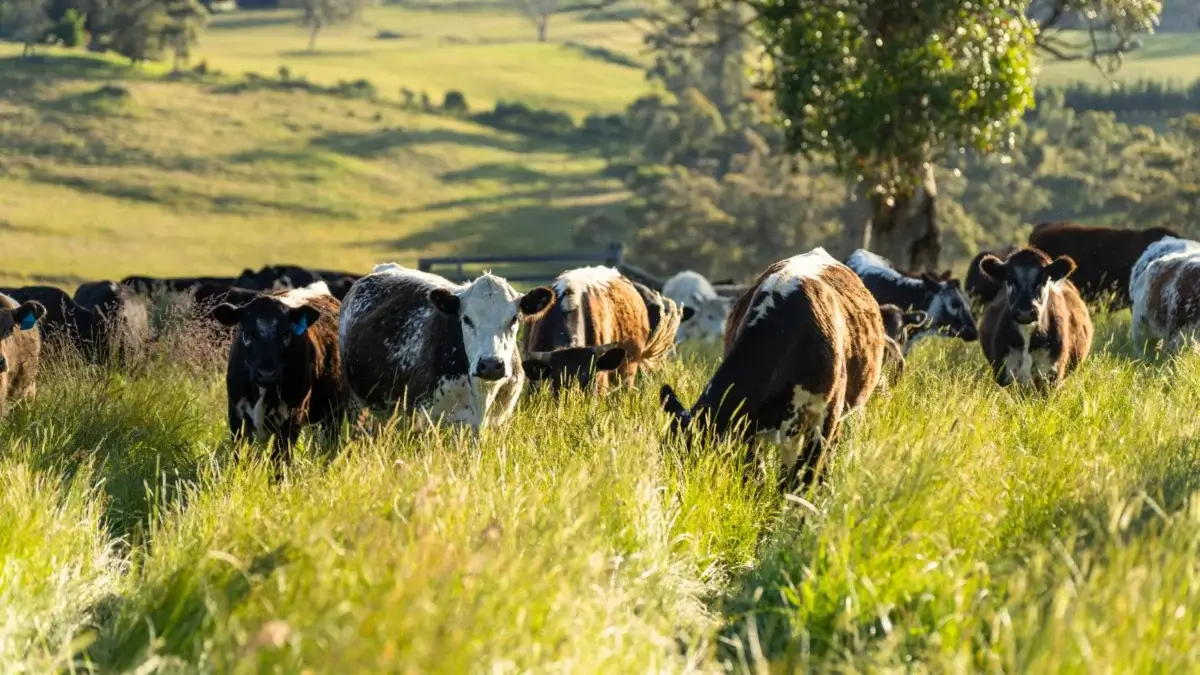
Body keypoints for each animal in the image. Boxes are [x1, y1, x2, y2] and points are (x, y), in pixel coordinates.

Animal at [212, 282, 347, 456]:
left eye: (285, 334)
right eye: (248, 334)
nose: (266, 374)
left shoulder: (292, 415)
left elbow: (280, 457)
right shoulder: (236, 413)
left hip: (334, 410)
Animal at [338, 264, 555, 430]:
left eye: (514, 318)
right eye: (466, 319)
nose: (491, 364)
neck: (482, 394)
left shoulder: (497, 421)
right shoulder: (424, 418)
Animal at [659, 248, 889, 489]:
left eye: (686, 455)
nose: (669, 490)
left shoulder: (825, 417)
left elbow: (808, 475)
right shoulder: (749, 427)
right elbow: (756, 478)